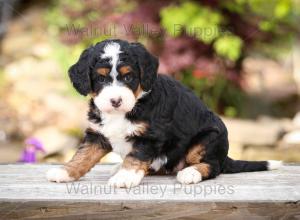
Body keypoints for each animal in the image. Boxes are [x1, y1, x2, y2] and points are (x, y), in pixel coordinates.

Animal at [46, 39, 282, 187]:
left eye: (128, 77)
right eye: (101, 78)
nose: (115, 100)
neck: (127, 109)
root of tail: (224, 155)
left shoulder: (150, 136)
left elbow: (136, 157)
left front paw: (125, 178)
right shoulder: (98, 134)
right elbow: (83, 155)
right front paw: (65, 171)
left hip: (208, 139)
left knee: (213, 166)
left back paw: (190, 173)